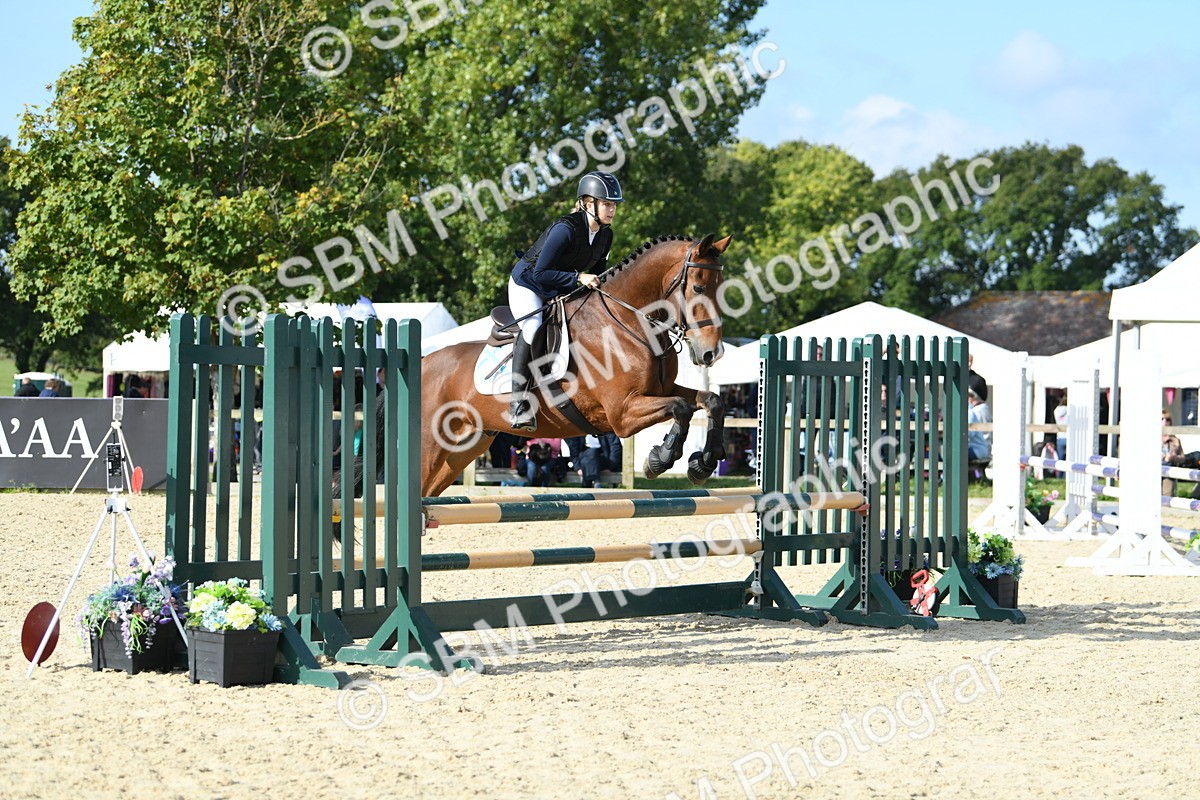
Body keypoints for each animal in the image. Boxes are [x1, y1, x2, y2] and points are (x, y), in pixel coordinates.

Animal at [419, 233, 733, 497]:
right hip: (431, 445)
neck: (627, 321)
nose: (712, 354)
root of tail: (423, 363)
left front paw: (703, 464)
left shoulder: (661, 390)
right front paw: (659, 459)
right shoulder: (622, 413)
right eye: (698, 287)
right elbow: (680, 407)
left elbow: (711, 401)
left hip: (466, 446)